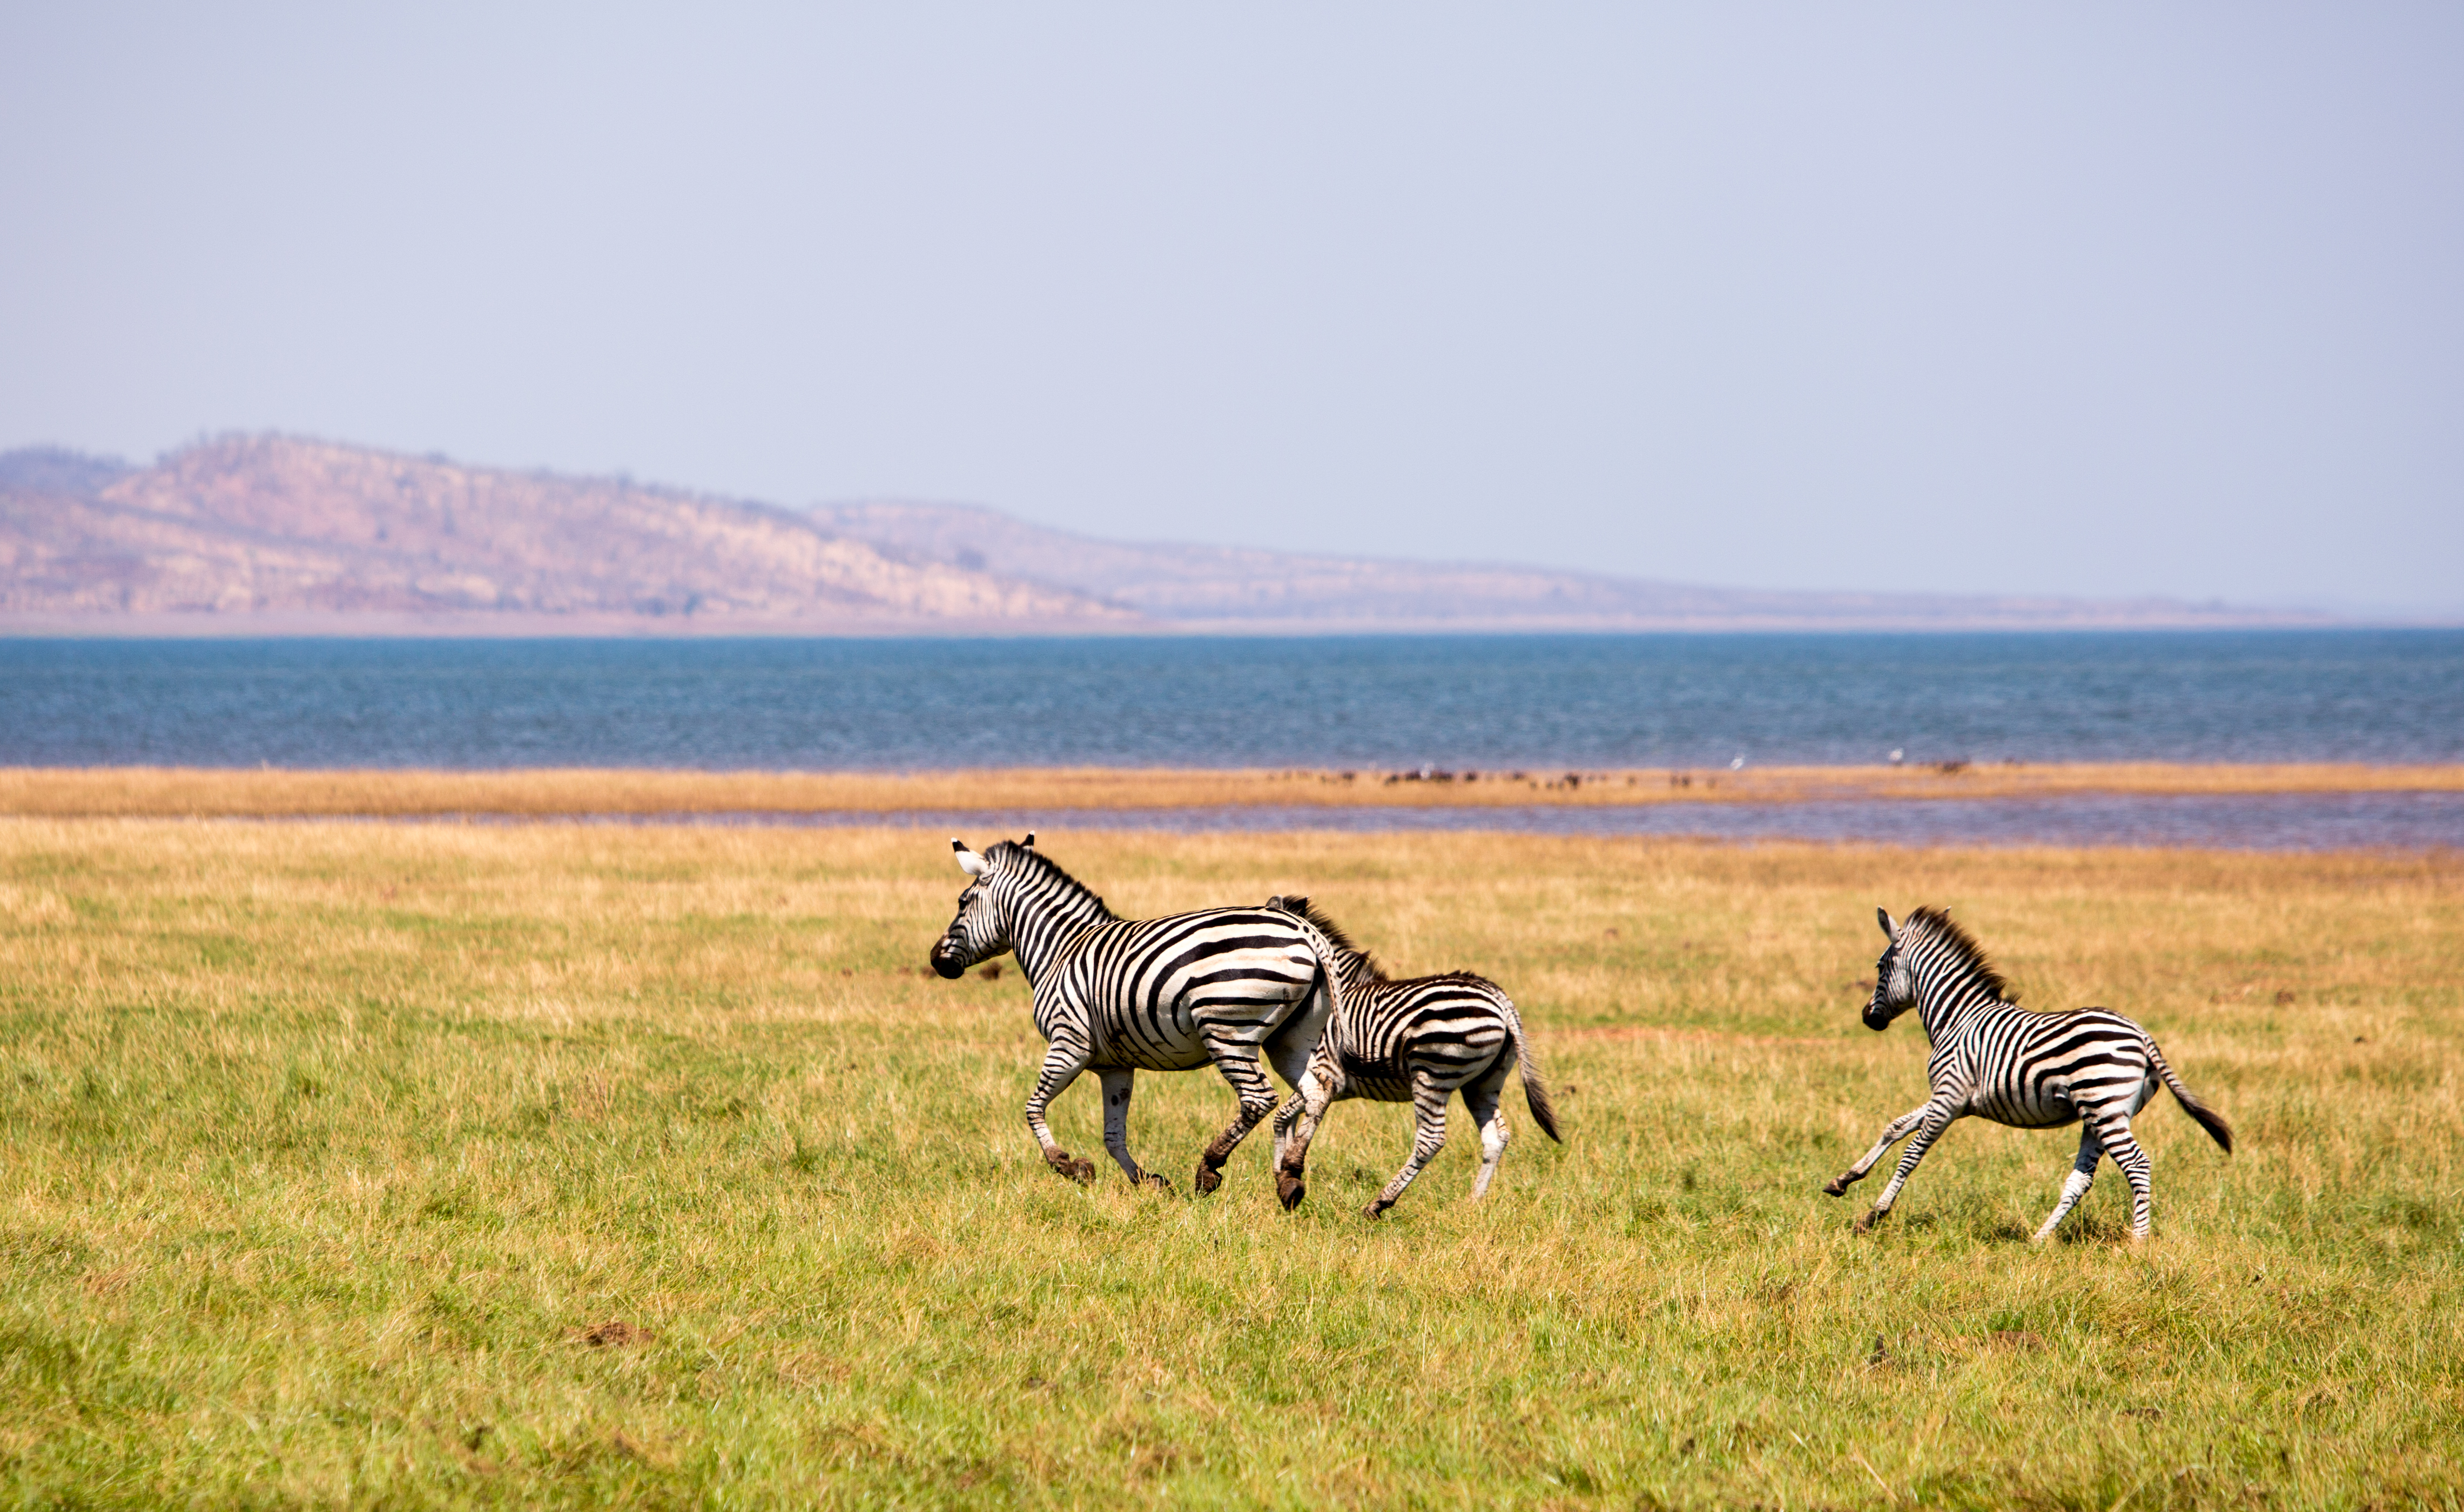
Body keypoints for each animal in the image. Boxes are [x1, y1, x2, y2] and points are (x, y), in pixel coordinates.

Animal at [929, 836, 1352, 1193]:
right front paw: (1147, 1181)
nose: (936, 960)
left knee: (1259, 1098)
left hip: (1227, 1030)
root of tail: (1305, 930)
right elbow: (1113, 1134)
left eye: (963, 902)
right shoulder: (1115, 1065)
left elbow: (1033, 1108)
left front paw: (1068, 1165)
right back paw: (1289, 1177)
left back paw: (1210, 1168)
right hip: (1291, 1038)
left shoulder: (1069, 1044)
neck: (1060, 950)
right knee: (1316, 1092)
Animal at [1261, 896, 1560, 1217]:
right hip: (1483, 1082)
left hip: (1433, 1073)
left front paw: (1287, 1173)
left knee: (1430, 1141)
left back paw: (1380, 1203)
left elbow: (1284, 1115)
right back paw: (1474, 1203)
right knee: (1496, 1137)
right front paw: (1285, 1174)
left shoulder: (1328, 1073)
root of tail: (1500, 999)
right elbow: (1287, 1118)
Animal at [1825, 906, 2233, 1241]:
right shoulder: (1955, 1099)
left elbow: (1912, 1153)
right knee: (2081, 1179)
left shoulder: (1949, 1097)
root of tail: (2142, 1035)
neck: (1957, 1018)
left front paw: (1874, 1215)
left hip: (2103, 1105)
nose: (1868, 1018)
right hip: (2101, 1113)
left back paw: (2138, 1241)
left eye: (1880, 967)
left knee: (2137, 1164)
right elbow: (1895, 1126)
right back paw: (2038, 1239)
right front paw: (1844, 1180)